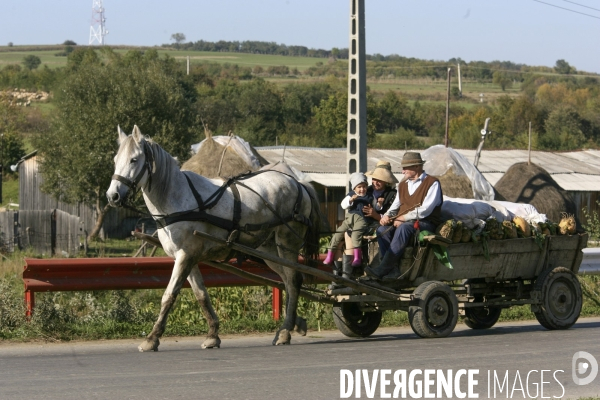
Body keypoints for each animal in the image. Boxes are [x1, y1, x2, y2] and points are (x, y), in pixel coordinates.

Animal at [108, 126, 324, 352]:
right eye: (115, 159)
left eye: (134, 159)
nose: (112, 196)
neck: (176, 198)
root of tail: (299, 183)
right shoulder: (188, 258)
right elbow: (201, 295)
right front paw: (212, 335)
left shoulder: (185, 256)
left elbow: (169, 295)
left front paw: (152, 338)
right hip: (269, 250)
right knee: (288, 281)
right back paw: (294, 323)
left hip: (287, 243)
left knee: (293, 280)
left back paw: (285, 330)